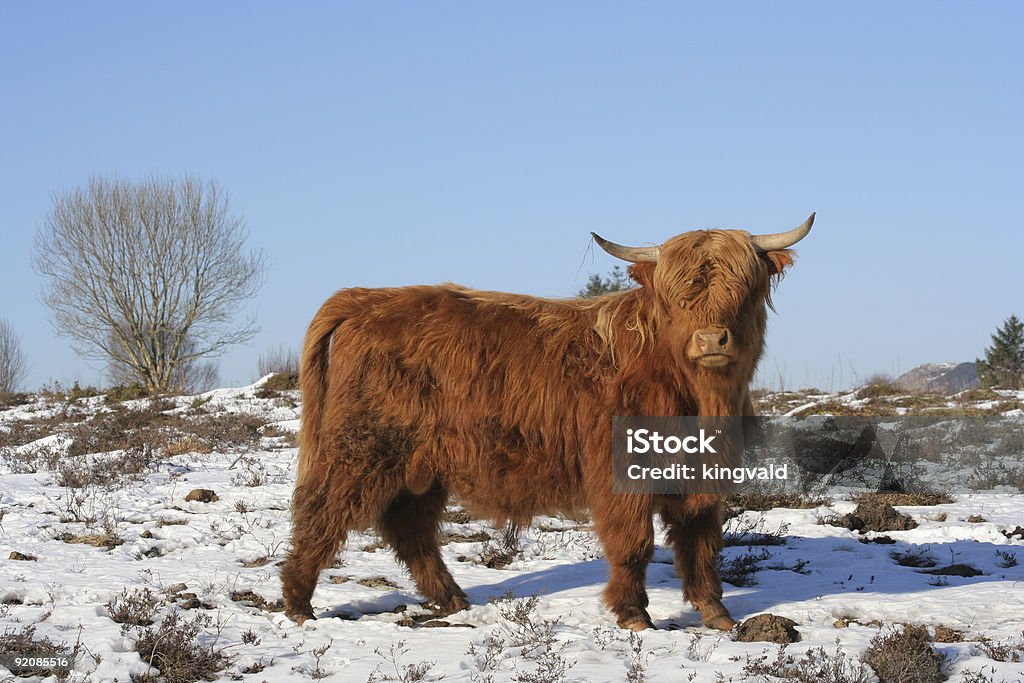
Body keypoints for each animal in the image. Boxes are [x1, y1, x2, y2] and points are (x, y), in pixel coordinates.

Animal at [282, 214, 815, 630]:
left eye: (744, 290)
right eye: (675, 297)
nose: (711, 339)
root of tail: (367, 298)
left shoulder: (700, 477)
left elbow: (701, 543)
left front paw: (716, 614)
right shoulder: (620, 473)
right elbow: (634, 543)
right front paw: (633, 615)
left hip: (422, 465)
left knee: (409, 527)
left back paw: (451, 599)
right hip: (363, 446)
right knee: (322, 512)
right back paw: (298, 603)